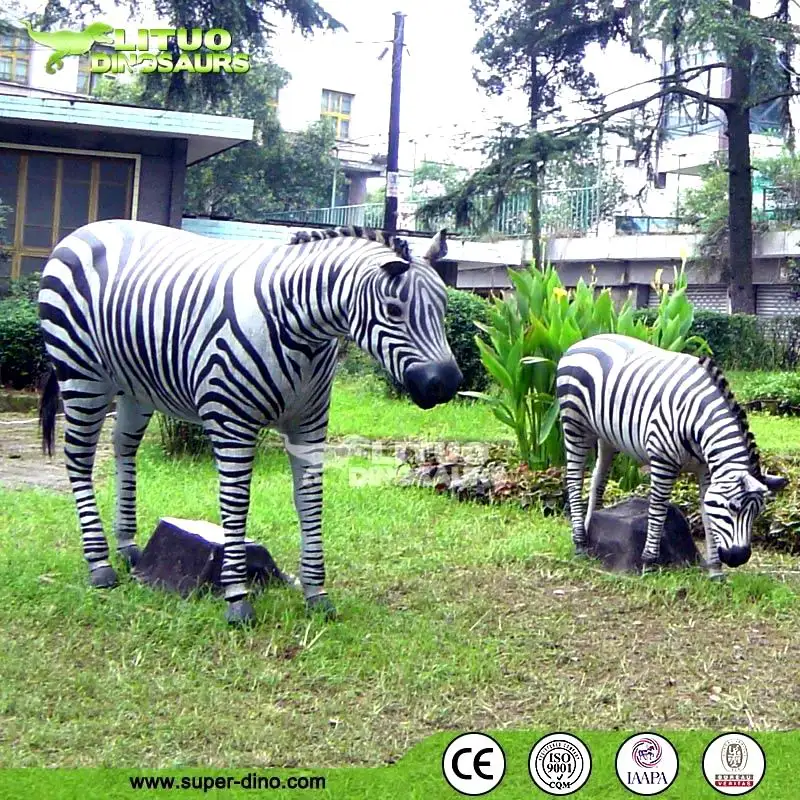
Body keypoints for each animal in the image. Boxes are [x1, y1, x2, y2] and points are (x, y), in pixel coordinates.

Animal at [38, 220, 462, 625]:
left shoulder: (309, 425)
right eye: (393, 310)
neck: (301, 329)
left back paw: (127, 547)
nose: (447, 383)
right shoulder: (230, 423)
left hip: (134, 386)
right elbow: (236, 504)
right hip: (82, 374)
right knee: (79, 460)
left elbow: (310, 503)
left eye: (443, 307)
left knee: (123, 448)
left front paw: (316, 595)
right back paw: (99, 564)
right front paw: (237, 600)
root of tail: (86, 230)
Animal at [556, 333, 787, 576]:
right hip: (574, 425)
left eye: (758, 511)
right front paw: (648, 562)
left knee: (597, 480)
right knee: (574, 479)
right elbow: (658, 509)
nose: (738, 558)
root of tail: (584, 341)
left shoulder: (706, 469)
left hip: (607, 435)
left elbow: (706, 513)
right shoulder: (662, 461)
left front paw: (715, 571)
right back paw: (580, 543)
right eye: (732, 507)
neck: (698, 420)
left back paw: (591, 532)